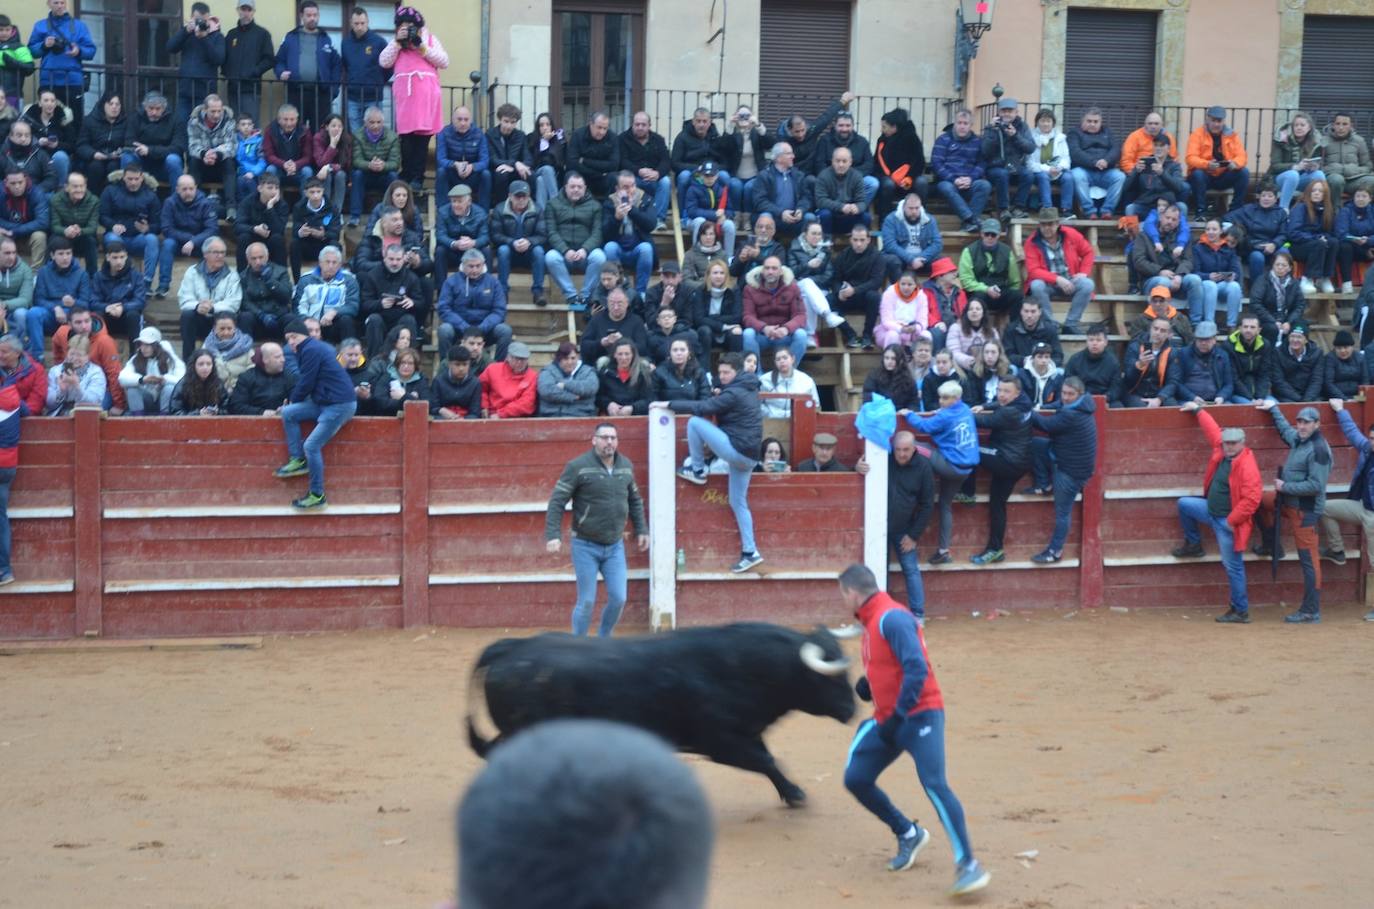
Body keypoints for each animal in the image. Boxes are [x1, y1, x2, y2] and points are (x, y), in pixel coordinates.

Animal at [472, 623, 857, 807]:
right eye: (829, 677)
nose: (852, 710)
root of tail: (510, 648)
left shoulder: (747, 733)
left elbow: (769, 760)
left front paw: (792, 793)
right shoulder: (723, 743)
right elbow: (767, 761)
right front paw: (795, 794)